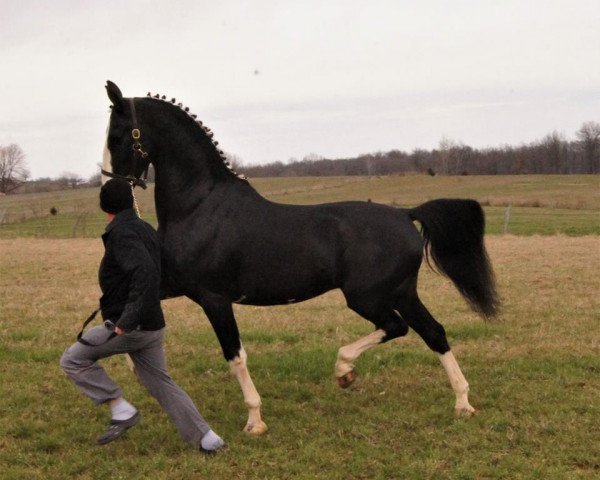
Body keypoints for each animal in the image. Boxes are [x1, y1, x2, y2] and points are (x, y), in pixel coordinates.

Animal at [102, 81, 496, 436]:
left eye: (118, 136)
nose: (110, 190)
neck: (201, 205)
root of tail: (405, 214)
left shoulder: (214, 299)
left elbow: (235, 356)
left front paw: (255, 421)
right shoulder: (170, 284)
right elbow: (120, 313)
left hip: (368, 297)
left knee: (398, 327)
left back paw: (344, 370)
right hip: (402, 292)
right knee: (433, 332)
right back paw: (462, 403)